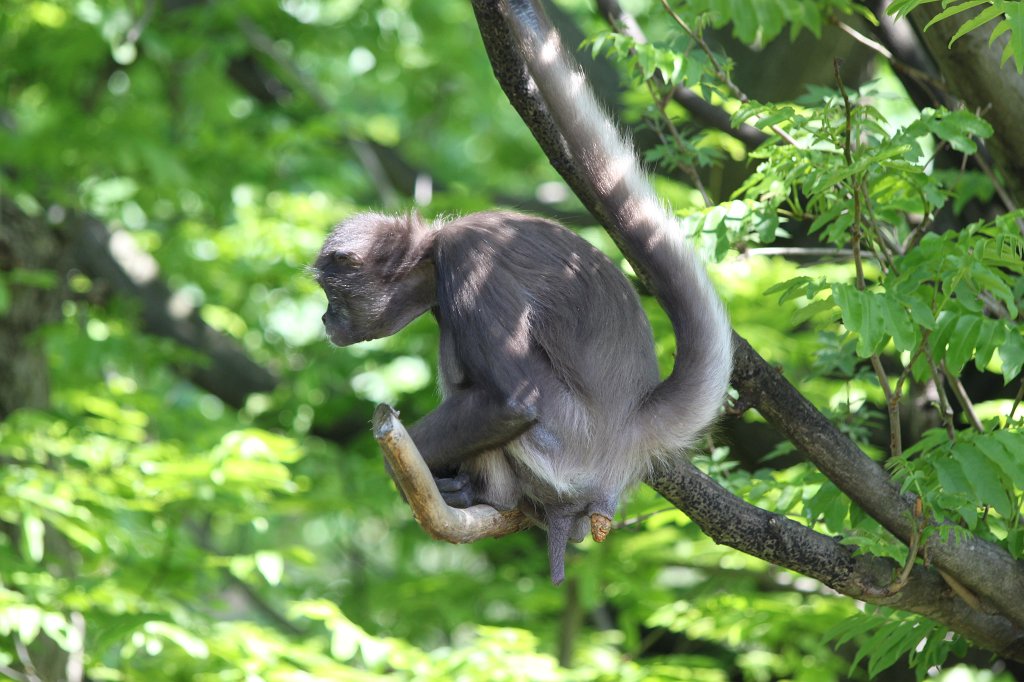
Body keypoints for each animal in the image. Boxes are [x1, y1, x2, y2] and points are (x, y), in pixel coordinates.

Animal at [313, 0, 732, 585]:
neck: (433, 249)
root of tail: (630, 424)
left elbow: (511, 400)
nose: (325, 320)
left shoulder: (468, 259)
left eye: (332, 296)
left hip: (566, 441)